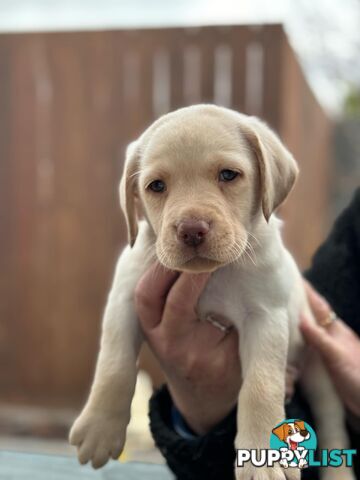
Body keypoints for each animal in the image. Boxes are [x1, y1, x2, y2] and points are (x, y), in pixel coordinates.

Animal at [69, 105, 354, 480]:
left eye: (229, 175)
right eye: (156, 186)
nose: (191, 230)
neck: (212, 275)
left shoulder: (266, 317)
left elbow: (260, 386)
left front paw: (264, 459)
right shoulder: (124, 299)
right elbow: (114, 365)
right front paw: (99, 429)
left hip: (319, 366)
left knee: (332, 424)